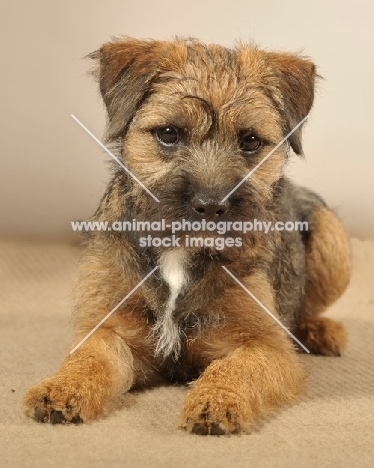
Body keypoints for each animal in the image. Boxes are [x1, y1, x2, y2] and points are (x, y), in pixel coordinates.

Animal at [23, 37, 350, 436]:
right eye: (168, 134)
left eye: (251, 142)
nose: (210, 206)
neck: (179, 253)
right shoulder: (108, 330)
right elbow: (88, 358)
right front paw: (60, 388)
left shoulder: (266, 346)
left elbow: (236, 368)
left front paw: (216, 401)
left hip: (333, 238)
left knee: (308, 308)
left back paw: (321, 331)